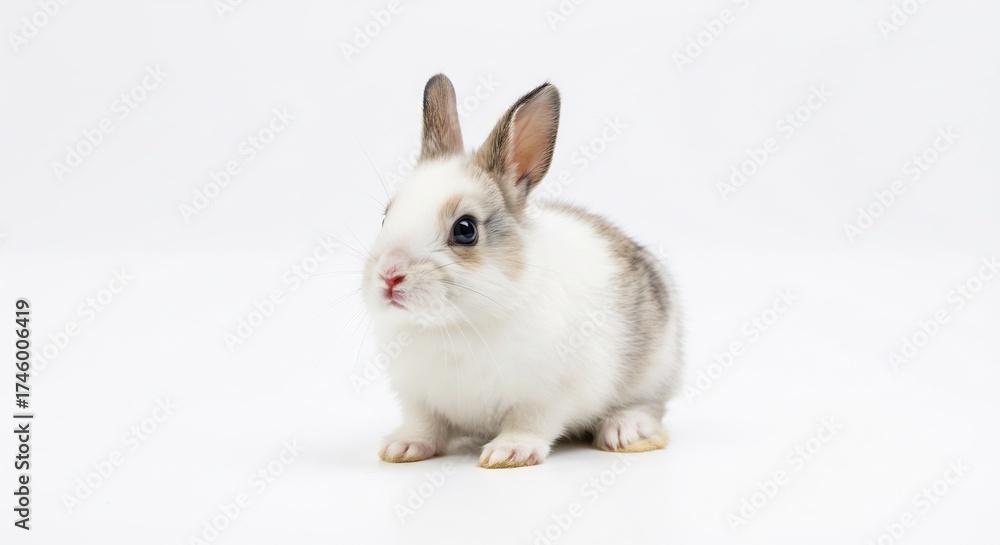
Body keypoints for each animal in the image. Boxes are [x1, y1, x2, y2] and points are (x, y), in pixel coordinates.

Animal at [361, 74, 683, 469]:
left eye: (465, 229)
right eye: (386, 217)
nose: (390, 276)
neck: (454, 325)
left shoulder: (546, 395)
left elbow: (530, 423)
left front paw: (509, 452)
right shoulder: (419, 398)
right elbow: (426, 424)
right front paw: (403, 446)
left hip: (655, 369)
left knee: (650, 407)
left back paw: (625, 430)